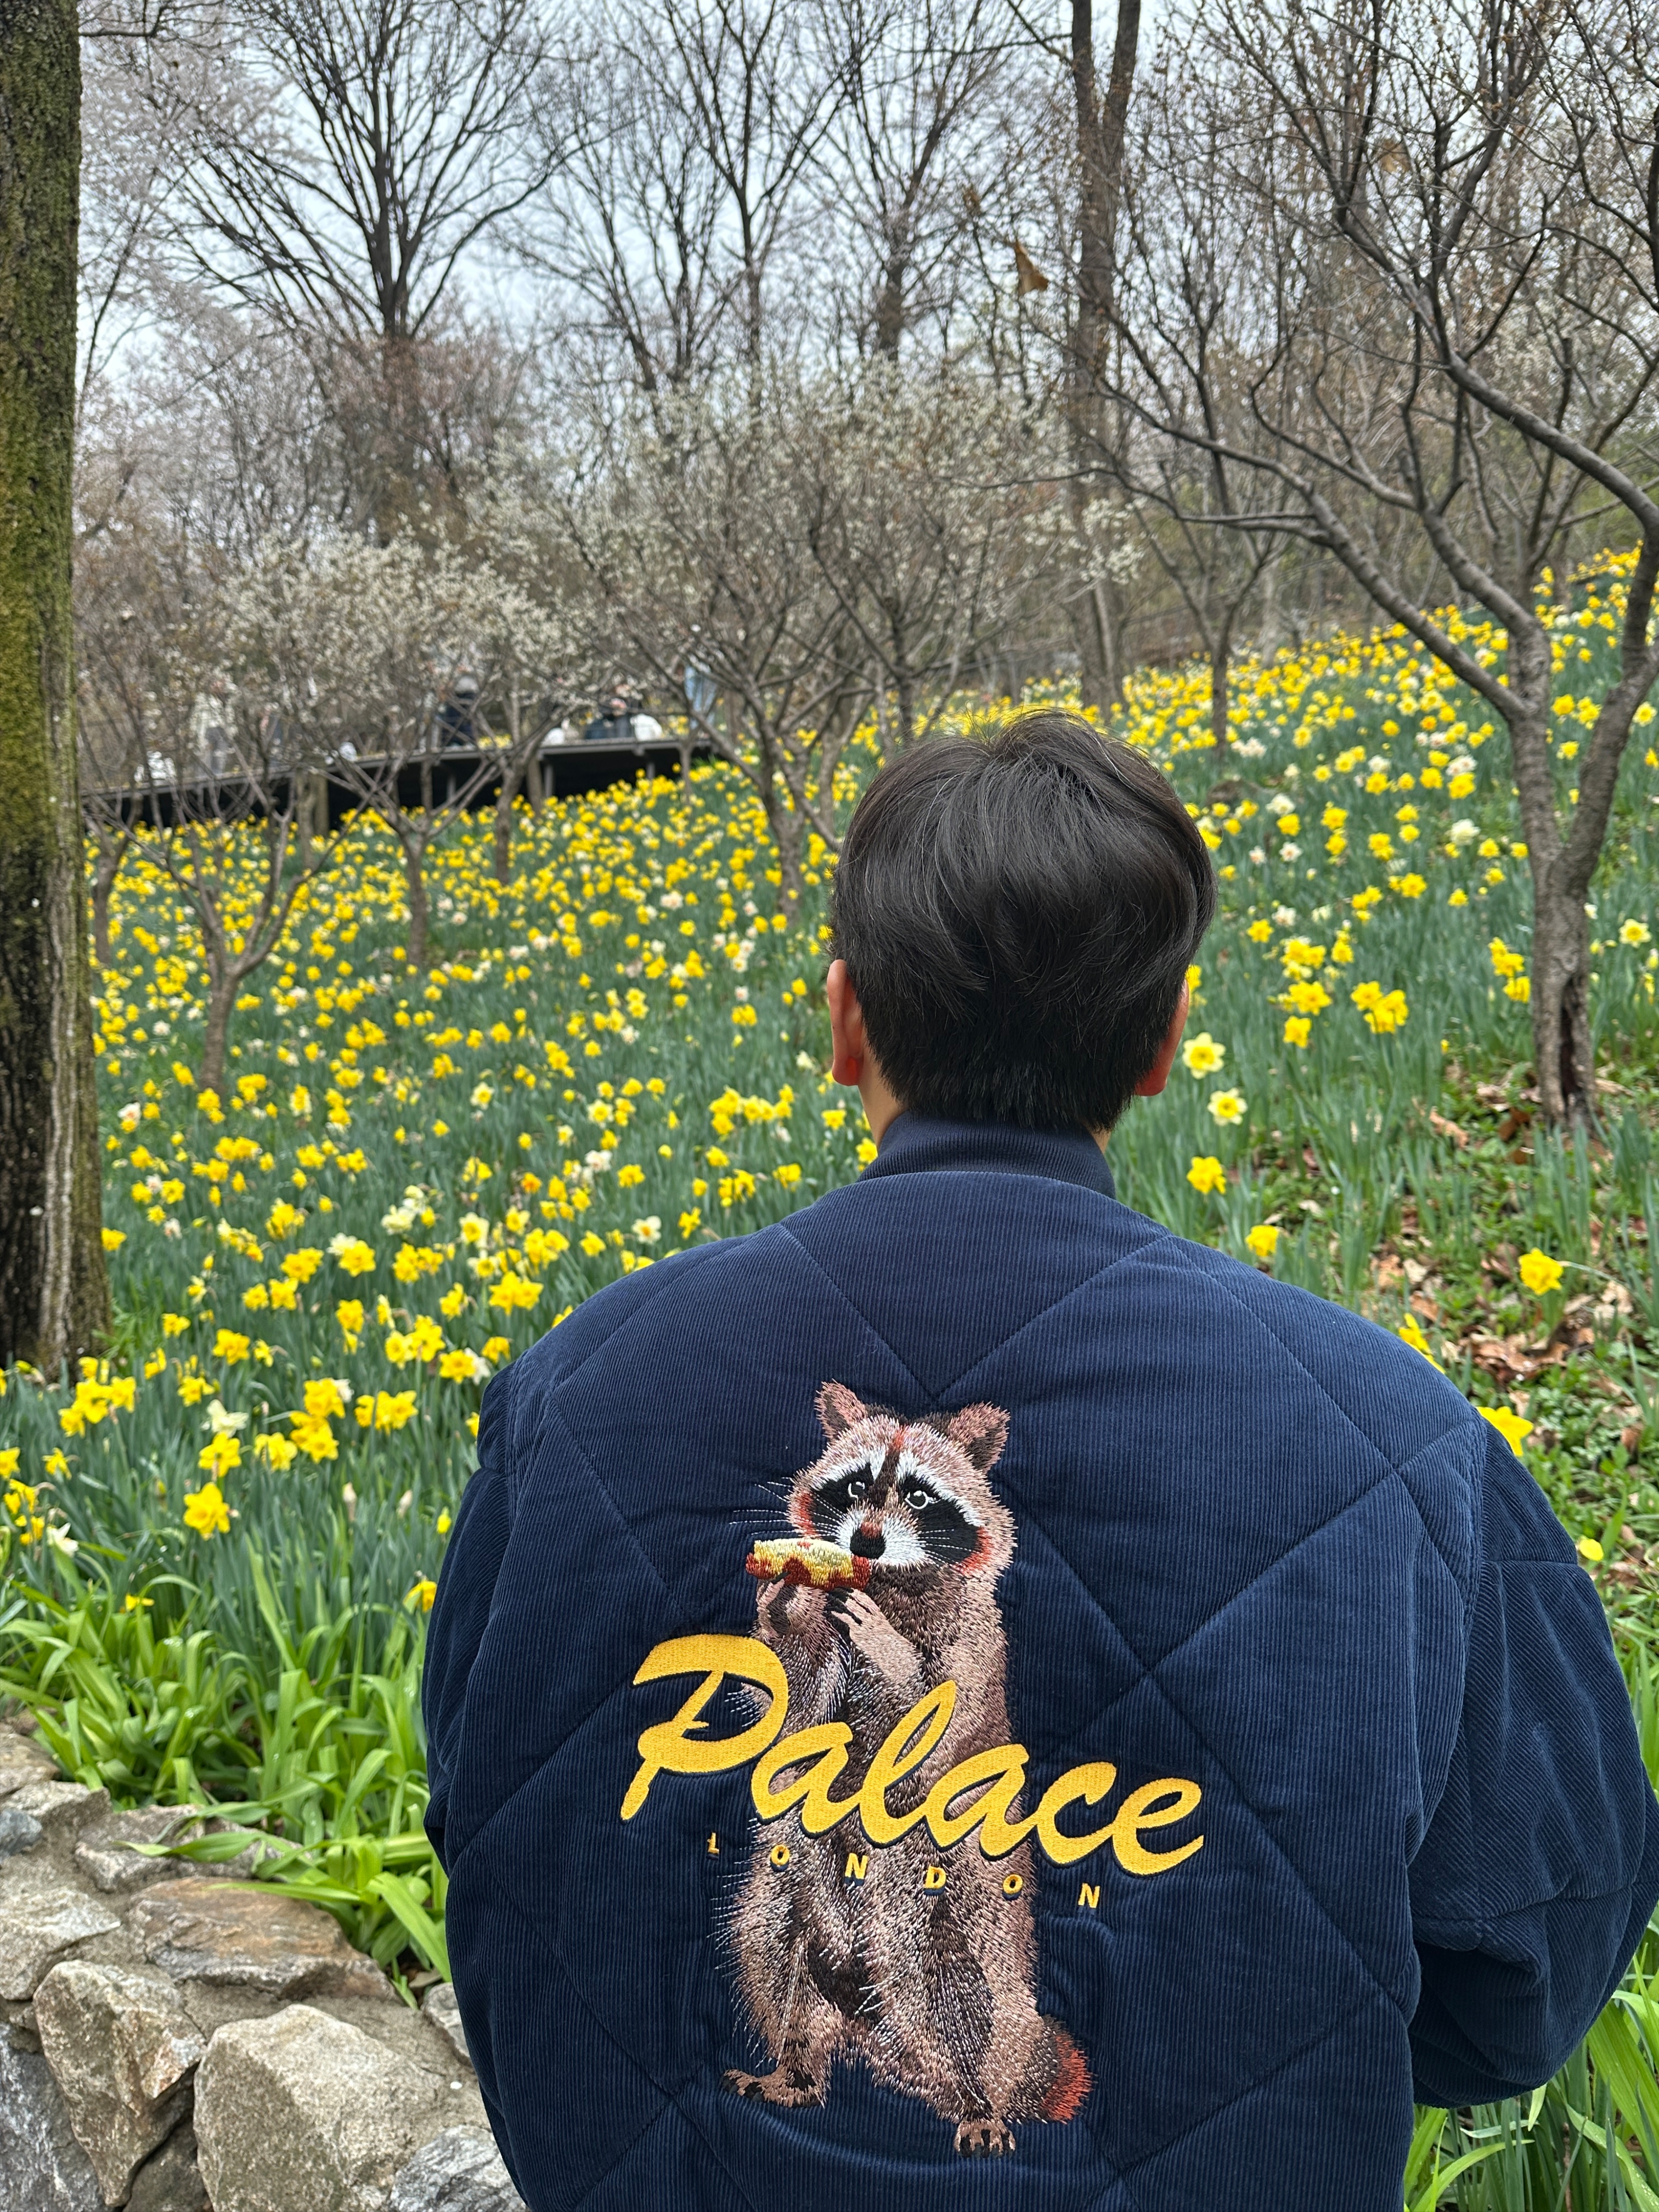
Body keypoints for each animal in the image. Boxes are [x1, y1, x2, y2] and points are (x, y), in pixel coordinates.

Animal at [723, 1381, 1090, 2158]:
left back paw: (978, 2098)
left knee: (956, 2003)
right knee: (772, 1954)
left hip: (950, 1919)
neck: (885, 1583)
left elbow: (934, 1731)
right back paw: (795, 2070)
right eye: (856, 1485)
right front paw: (787, 1599)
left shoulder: (976, 1642)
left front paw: (891, 1656)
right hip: (793, 1897)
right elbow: (796, 1708)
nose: (864, 1542)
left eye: (919, 1496)